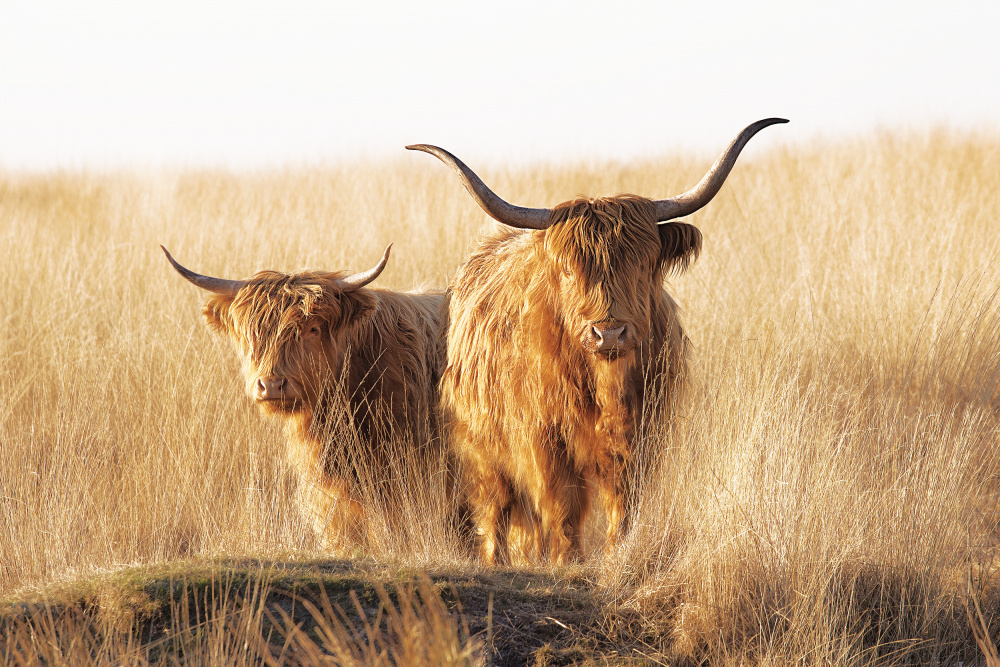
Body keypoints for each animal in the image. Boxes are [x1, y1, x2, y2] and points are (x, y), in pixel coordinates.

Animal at [408, 118, 786, 564]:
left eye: (642, 265)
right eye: (570, 270)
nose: (609, 333)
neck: (605, 385)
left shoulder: (640, 436)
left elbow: (623, 501)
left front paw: (617, 552)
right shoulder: (543, 440)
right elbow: (561, 504)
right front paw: (567, 559)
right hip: (481, 447)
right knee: (495, 509)